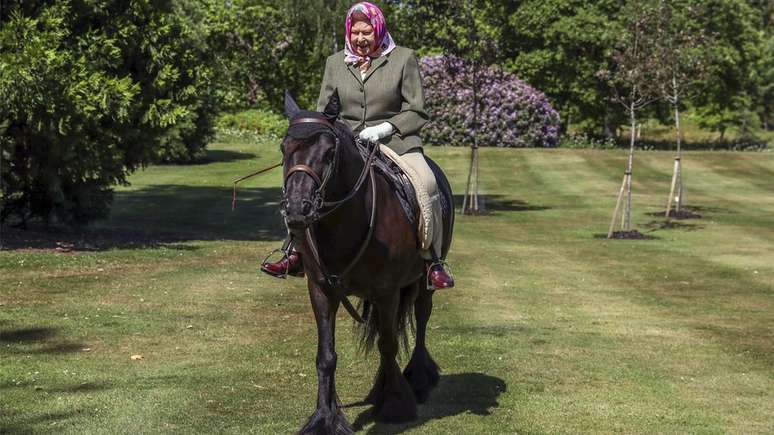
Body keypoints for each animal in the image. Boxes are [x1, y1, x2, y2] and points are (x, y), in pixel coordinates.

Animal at [282, 90, 454, 434]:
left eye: (329, 152)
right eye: (284, 148)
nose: (296, 209)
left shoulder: (387, 291)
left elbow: (388, 345)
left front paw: (395, 404)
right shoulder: (321, 290)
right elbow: (326, 355)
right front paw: (325, 418)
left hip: (423, 283)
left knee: (421, 319)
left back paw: (417, 379)